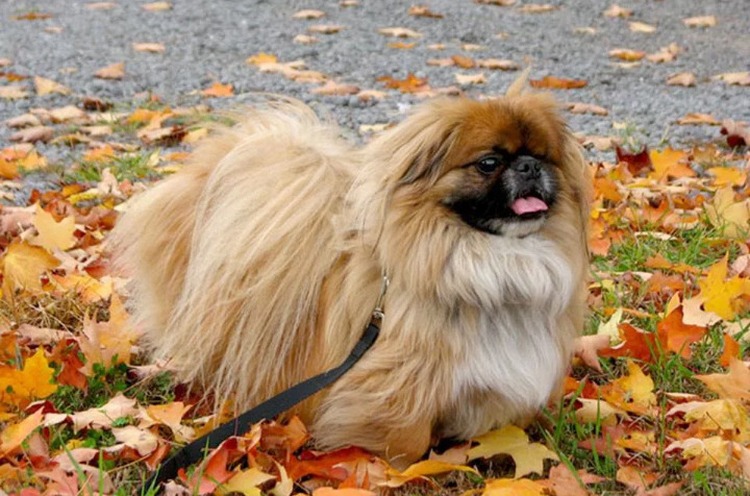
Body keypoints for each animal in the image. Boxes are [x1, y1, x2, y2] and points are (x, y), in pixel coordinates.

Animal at [112, 81, 590, 466]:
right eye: (489, 163)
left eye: (543, 158)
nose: (529, 167)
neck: (492, 261)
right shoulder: (398, 386)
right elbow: (408, 442)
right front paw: (402, 473)